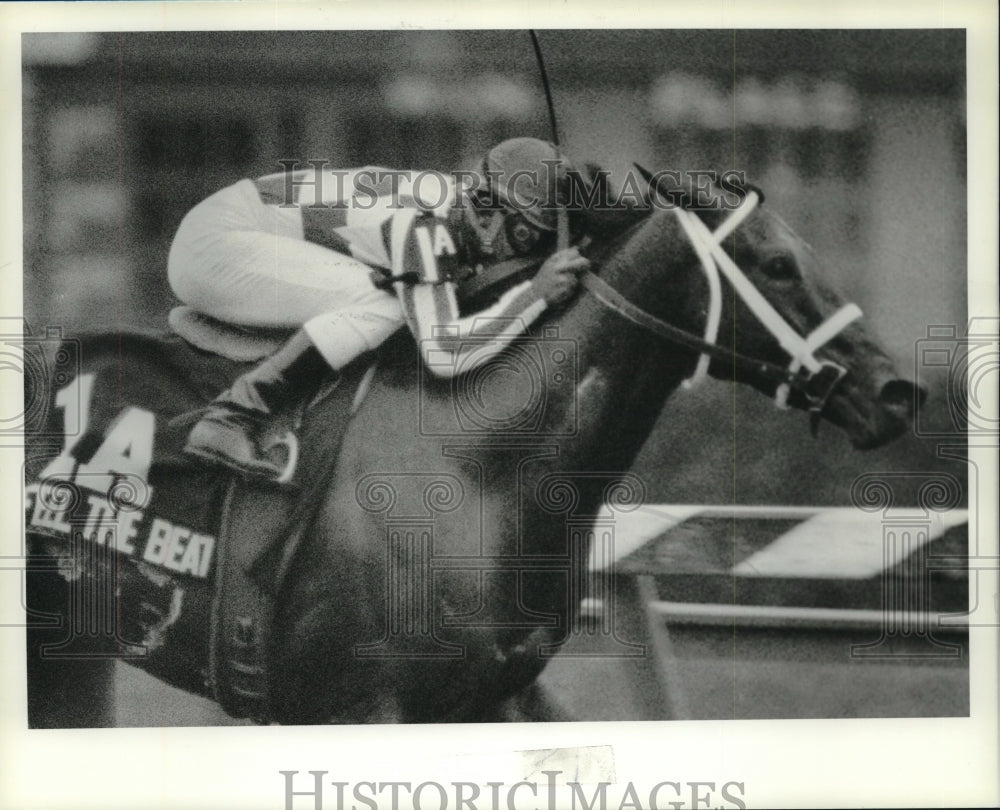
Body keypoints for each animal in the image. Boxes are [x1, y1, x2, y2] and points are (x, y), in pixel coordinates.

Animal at [23, 172, 924, 724]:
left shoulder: (495, 693)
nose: (898, 392)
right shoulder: (354, 707)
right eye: (776, 264)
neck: (478, 461)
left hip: (65, 651)